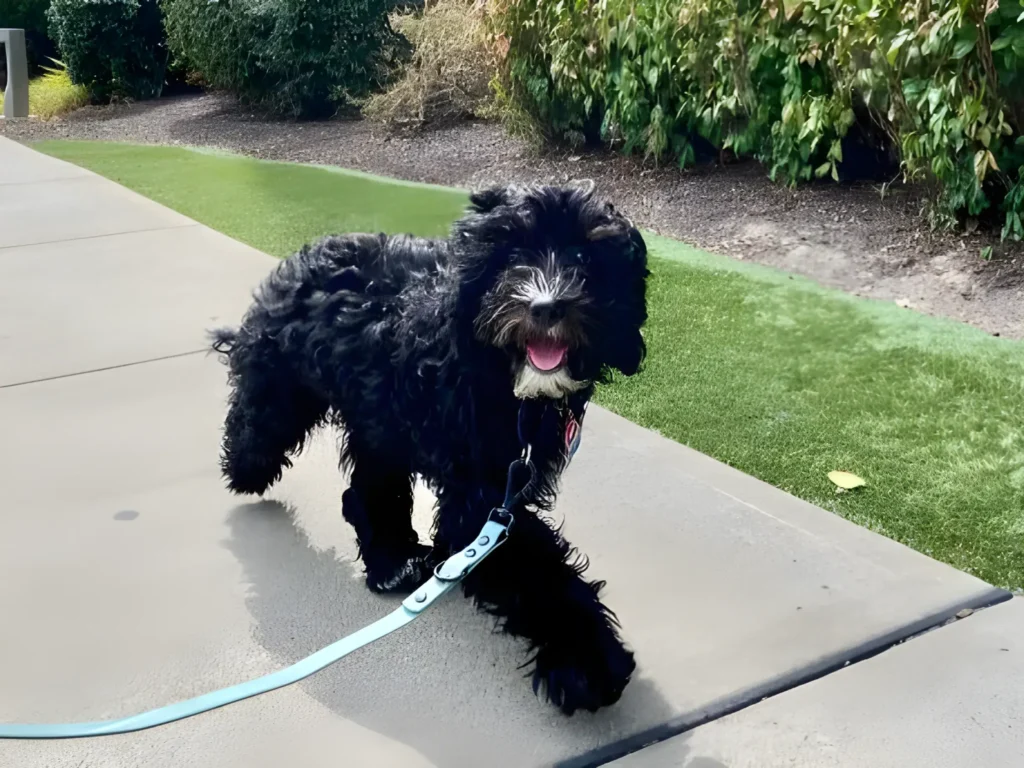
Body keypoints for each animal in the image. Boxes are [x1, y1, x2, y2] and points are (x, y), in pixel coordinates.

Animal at [209, 183, 647, 720]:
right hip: (289, 391)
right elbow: (539, 568)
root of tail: (301, 258)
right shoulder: (481, 502)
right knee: (260, 428)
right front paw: (586, 662)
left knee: (364, 491)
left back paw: (391, 559)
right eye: (511, 256)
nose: (545, 306)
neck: (502, 381)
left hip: (377, 418)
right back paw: (248, 470)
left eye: (584, 255)